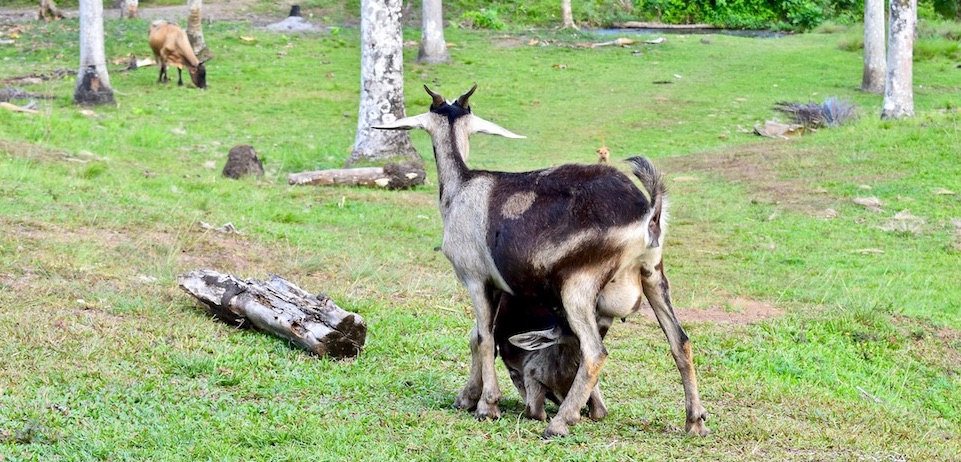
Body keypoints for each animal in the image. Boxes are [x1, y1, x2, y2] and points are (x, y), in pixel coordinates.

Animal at [372, 85, 708, 436]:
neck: (462, 185)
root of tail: (649, 212)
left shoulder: (475, 279)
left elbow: (483, 337)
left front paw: (486, 405)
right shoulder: (500, 287)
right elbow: (478, 336)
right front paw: (468, 397)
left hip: (578, 287)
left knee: (595, 352)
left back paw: (561, 422)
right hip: (653, 275)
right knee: (680, 341)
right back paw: (694, 421)